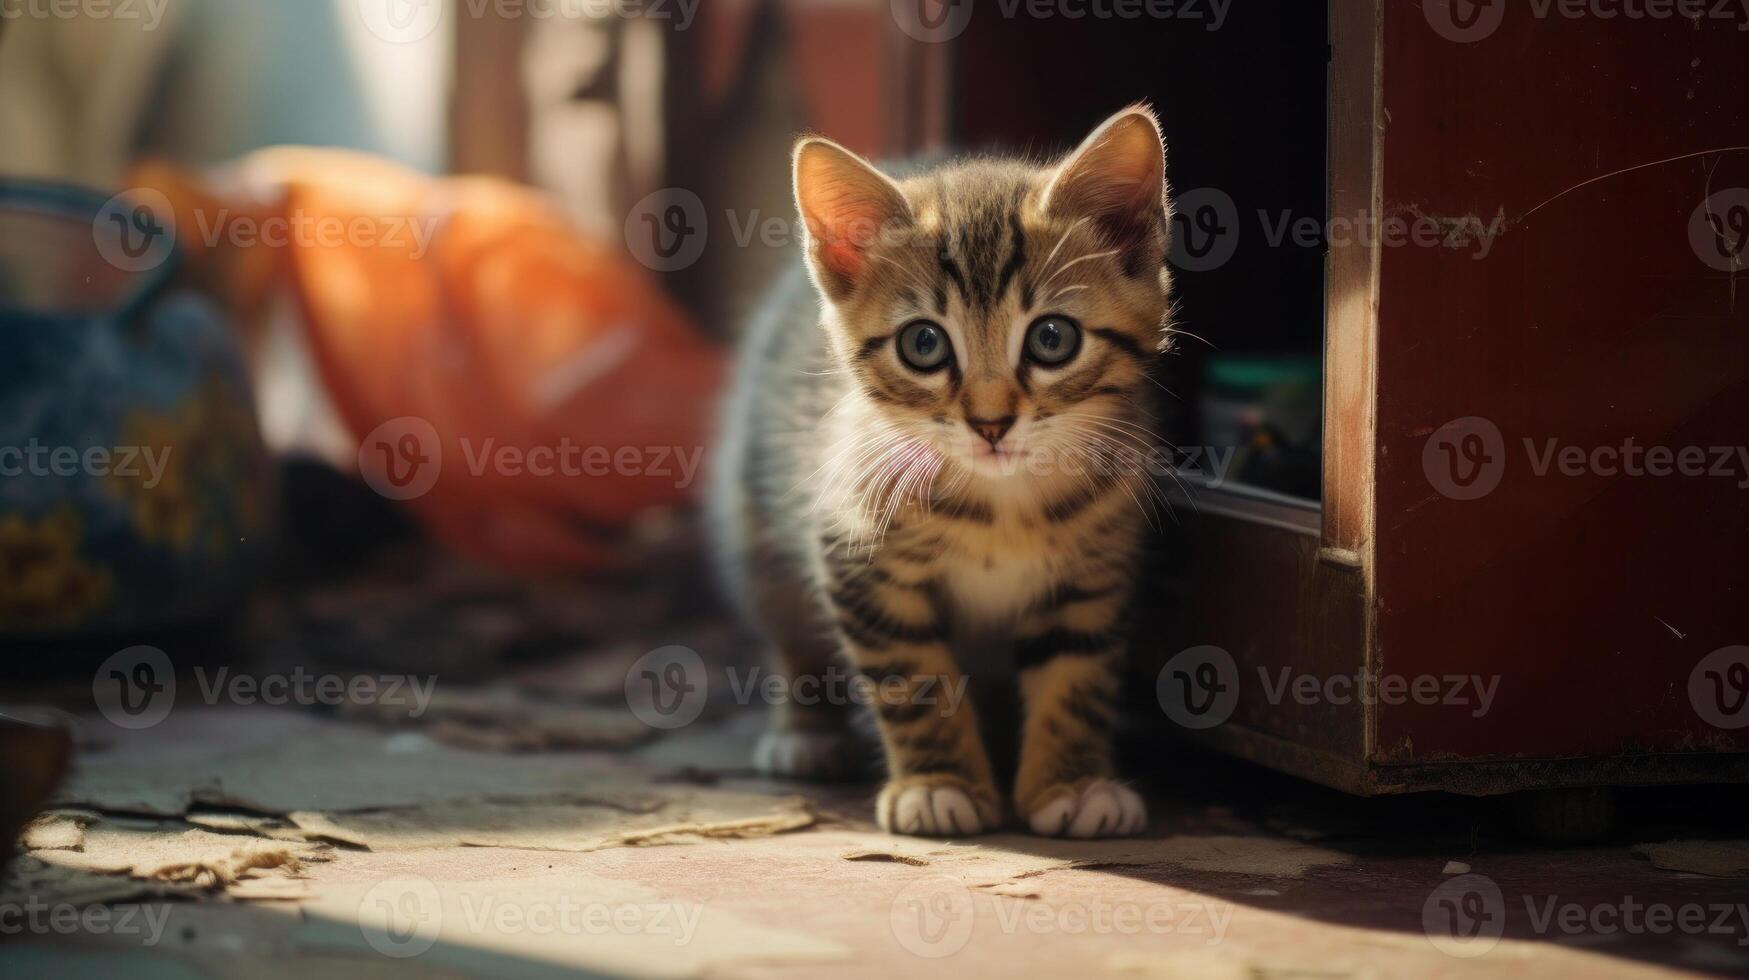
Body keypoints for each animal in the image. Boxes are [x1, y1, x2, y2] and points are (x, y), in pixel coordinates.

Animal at [710, 108, 1175, 843]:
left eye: (1052, 339)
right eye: (923, 344)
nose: (990, 424)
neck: (1003, 502)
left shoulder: (1096, 572)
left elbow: (1077, 675)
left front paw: (1071, 785)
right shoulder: (858, 561)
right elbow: (913, 679)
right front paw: (938, 784)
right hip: (753, 525)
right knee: (786, 626)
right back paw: (806, 732)